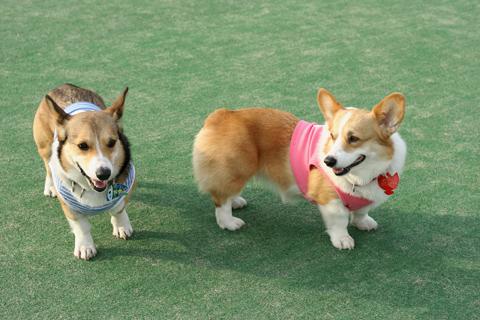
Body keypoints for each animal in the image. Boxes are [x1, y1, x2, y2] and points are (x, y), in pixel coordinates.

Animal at [33, 84, 137, 260]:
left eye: (111, 143)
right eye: (82, 146)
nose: (104, 174)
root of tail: (64, 85)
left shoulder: (128, 184)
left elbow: (117, 209)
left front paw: (122, 226)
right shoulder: (69, 205)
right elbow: (82, 227)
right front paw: (85, 247)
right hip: (44, 148)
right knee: (48, 166)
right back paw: (49, 187)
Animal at [191, 88, 404, 250]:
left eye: (354, 138)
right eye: (333, 136)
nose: (328, 161)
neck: (362, 174)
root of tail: (221, 114)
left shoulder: (365, 199)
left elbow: (361, 212)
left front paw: (363, 223)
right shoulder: (330, 202)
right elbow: (339, 222)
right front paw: (343, 240)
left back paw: (236, 202)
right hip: (237, 169)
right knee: (220, 199)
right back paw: (229, 222)